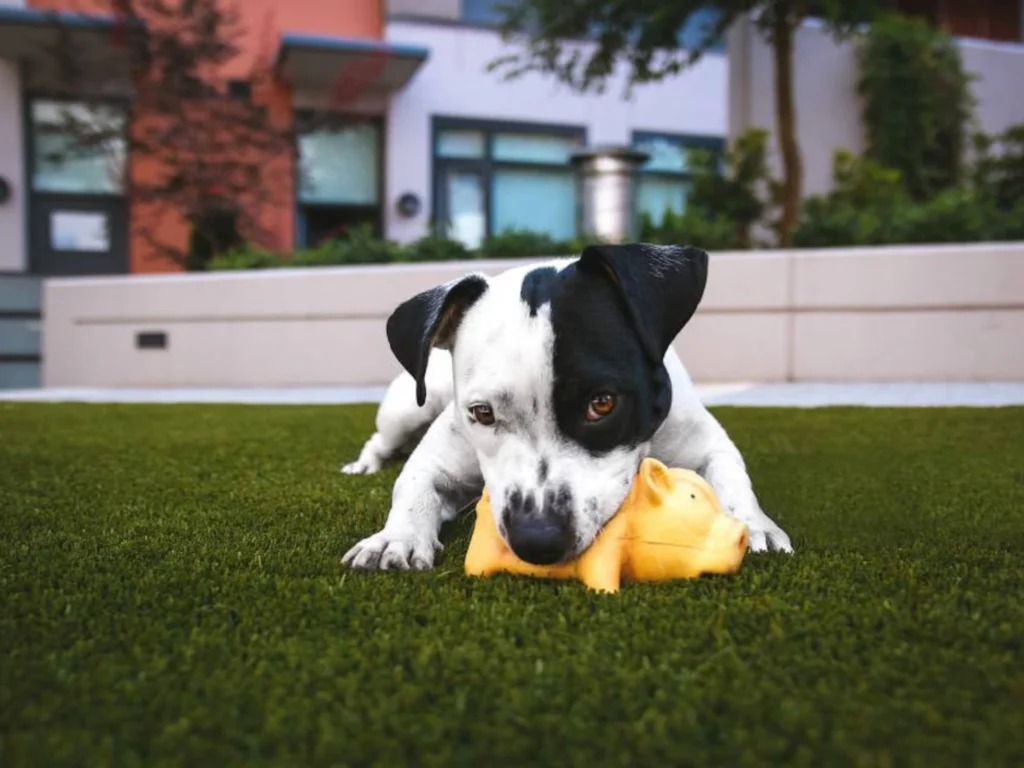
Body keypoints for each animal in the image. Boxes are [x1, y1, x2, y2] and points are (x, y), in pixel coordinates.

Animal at [342, 243, 790, 573]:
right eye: (482, 413)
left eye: (602, 403)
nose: (537, 539)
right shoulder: (438, 457)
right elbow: (413, 486)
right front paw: (395, 537)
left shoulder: (706, 442)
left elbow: (732, 478)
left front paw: (755, 525)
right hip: (407, 408)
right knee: (380, 439)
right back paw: (364, 465)